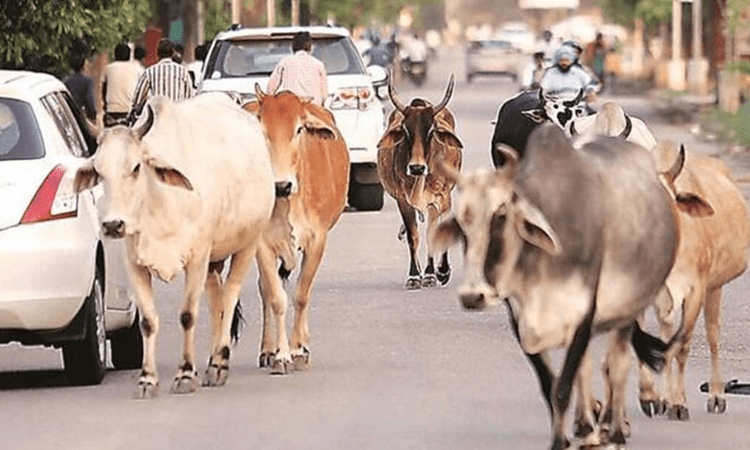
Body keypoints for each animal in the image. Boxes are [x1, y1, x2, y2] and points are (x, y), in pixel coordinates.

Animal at [73, 93, 275, 398]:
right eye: (99, 171)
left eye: (136, 167)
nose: (113, 224)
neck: (160, 202)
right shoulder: (134, 263)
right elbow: (147, 321)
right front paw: (147, 379)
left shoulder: (198, 258)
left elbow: (187, 315)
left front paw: (185, 374)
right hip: (215, 260)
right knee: (216, 300)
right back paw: (212, 361)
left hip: (248, 242)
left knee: (230, 295)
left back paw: (219, 363)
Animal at [243, 86, 350, 374]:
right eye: (262, 128)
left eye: (299, 129)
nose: (281, 185)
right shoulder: (262, 245)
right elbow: (276, 298)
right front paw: (281, 355)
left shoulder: (318, 240)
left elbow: (302, 295)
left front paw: (298, 350)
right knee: (265, 290)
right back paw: (267, 350)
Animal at [377, 74, 464, 289]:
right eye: (406, 131)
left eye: (431, 131)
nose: (417, 168)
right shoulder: (403, 200)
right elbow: (413, 236)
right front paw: (415, 275)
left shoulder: (440, 198)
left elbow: (433, 233)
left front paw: (437, 273)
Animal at [431, 124, 681, 449]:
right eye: (461, 224)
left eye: (501, 215)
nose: (473, 296)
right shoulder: (521, 318)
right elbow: (550, 384)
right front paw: (563, 438)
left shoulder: (584, 314)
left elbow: (563, 388)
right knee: (587, 370)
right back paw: (587, 427)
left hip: (628, 310)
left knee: (617, 367)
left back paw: (614, 430)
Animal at [637, 141, 750, 420]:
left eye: (670, 200)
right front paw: (656, 399)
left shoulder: (696, 290)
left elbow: (683, 345)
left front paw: (679, 404)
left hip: (714, 287)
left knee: (712, 336)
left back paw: (717, 395)